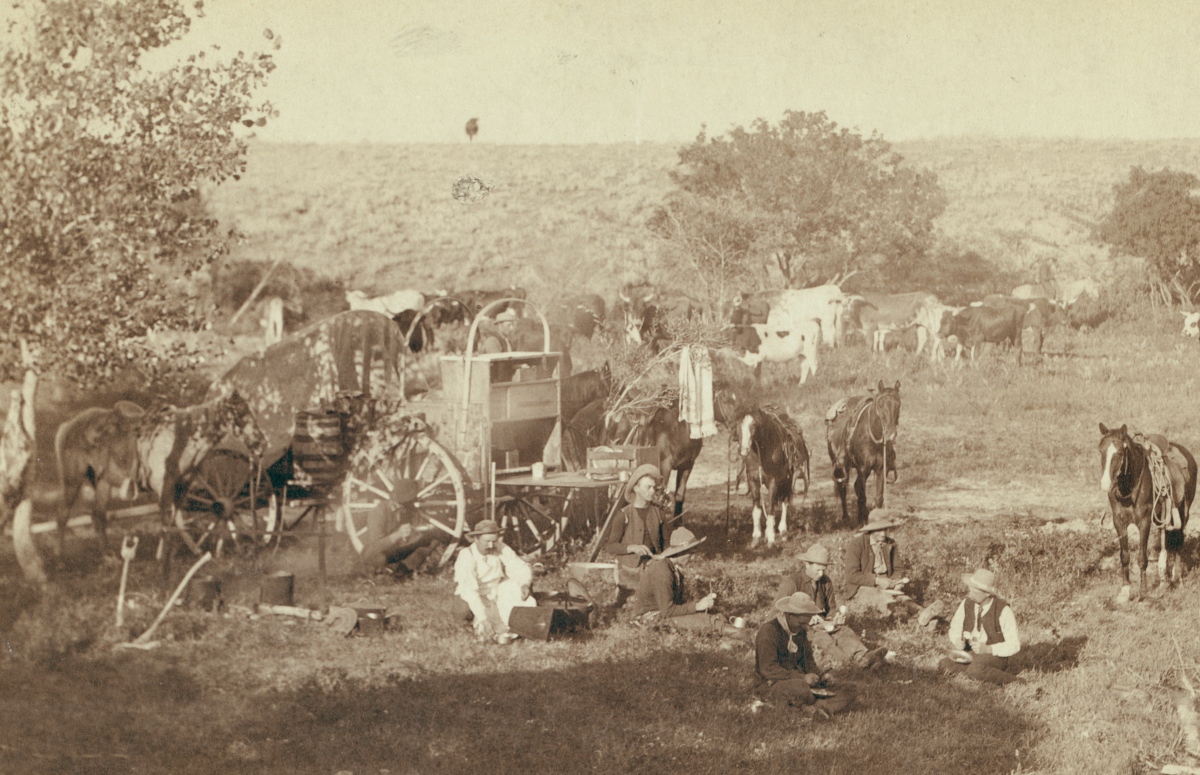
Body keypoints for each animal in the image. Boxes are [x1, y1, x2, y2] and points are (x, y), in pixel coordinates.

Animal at [734, 410, 811, 549]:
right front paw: (756, 538)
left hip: (787, 481)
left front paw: (770, 539)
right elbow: (756, 510)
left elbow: (770, 509)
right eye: (738, 424)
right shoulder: (753, 481)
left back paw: (783, 532)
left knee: (785, 502)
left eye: (754, 424)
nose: (743, 450)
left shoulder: (773, 482)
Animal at [825, 381, 902, 527]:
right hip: (839, 465)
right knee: (843, 488)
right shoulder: (863, 469)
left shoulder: (881, 469)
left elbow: (878, 497)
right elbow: (862, 494)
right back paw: (846, 518)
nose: (891, 434)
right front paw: (863, 520)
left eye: (898, 404)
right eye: (881, 405)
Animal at [1099, 424, 1195, 602]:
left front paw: (1143, 592)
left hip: (1183, 511)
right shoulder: (1119, 523)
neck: (1128, 488)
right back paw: (1165, 581)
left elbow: (1142, 558)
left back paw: (1177, 579)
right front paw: (1125, 591)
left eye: (1120, 453)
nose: (1105, 484)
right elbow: (1124, 556)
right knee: (1166, 543)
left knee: (1178, 542)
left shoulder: (1144, 522)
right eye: (1100, 450)